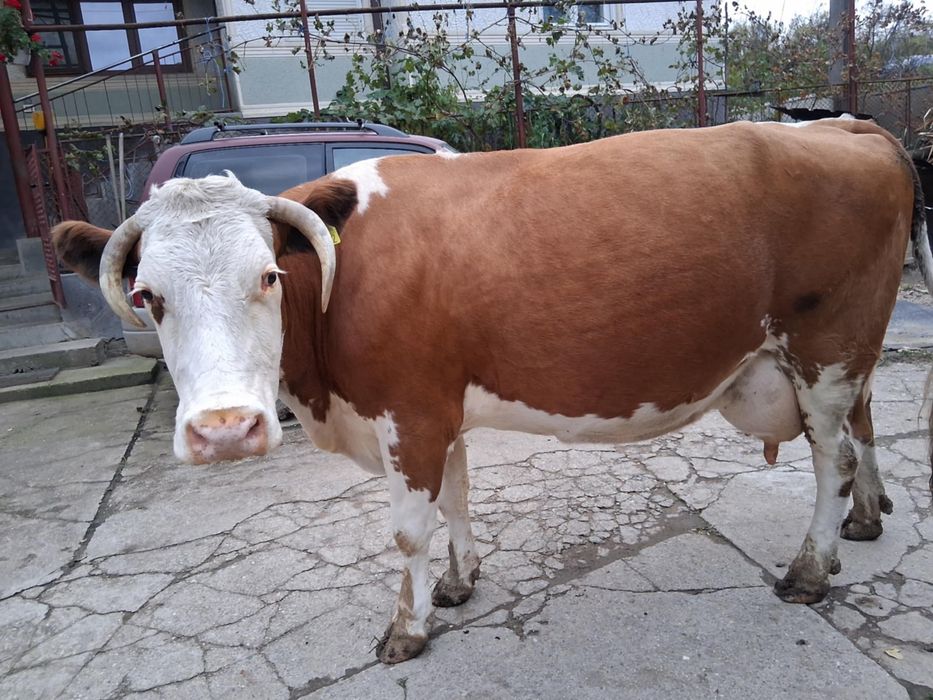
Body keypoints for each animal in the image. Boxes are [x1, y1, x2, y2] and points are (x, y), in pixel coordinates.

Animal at [53, 118, 932, 664]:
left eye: (266, 275)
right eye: (147, 296)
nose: (225, 429)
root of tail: (843, 126)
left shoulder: (408, 412)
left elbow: (408, 530)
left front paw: (404, 629)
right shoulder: (437, 408)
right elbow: (456, 501)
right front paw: (458, 581)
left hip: (825, 352)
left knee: (830, 460)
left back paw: (811, 570)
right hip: (845, 357)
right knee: (861, 432)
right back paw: (863, 522)